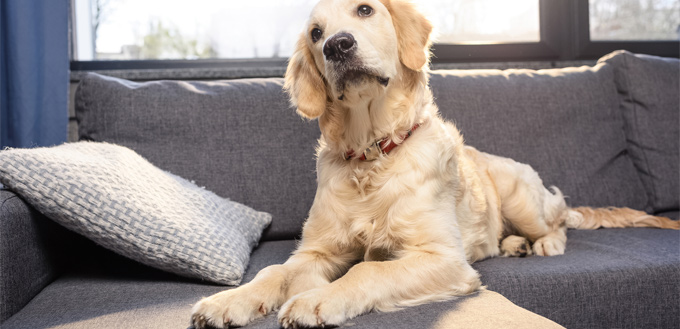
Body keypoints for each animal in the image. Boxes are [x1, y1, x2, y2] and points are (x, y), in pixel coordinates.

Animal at [189, 1, 676, 326]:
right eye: (314, 33)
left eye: (365, 9)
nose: (337, 45)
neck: (372, 153)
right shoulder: (317, 251)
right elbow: (274, 270)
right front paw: (229, 301)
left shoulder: (445, 259)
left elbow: (367, 268)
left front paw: (316, 300)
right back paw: (513, 245)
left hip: (521, 199)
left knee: (559, 221)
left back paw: (542, 244)